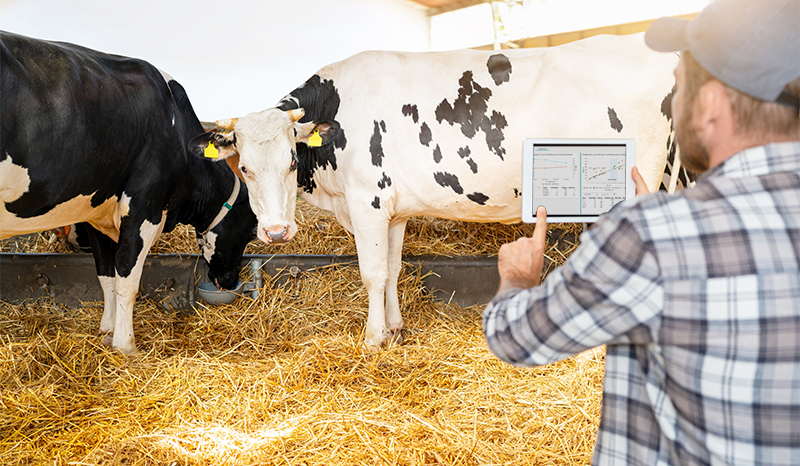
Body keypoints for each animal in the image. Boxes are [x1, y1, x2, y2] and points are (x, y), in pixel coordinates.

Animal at [0, 31, 257, 355]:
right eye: (250, 231)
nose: (230, 280)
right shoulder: (144, 207)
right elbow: (127, 277)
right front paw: (125, 346)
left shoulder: (95, 212)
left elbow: (106, 273)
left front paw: (107, 331)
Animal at [190, 33, 679, 348]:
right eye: (246, 167)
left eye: (291, 161)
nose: (275, 232)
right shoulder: (393, 210)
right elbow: (391, 268)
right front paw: (394, 329)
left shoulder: (367, 202)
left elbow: (372, 272)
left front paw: (371, 340)